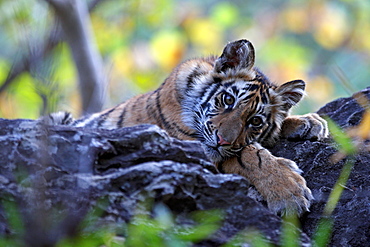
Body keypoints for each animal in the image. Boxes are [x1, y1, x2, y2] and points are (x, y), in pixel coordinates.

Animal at [42, 39, 328, 215]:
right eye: (228, 100)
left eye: (255, 121)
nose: (223, 141)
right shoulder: (185, 142)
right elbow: (249, 155)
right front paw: (289, 192)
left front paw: (311, 122)